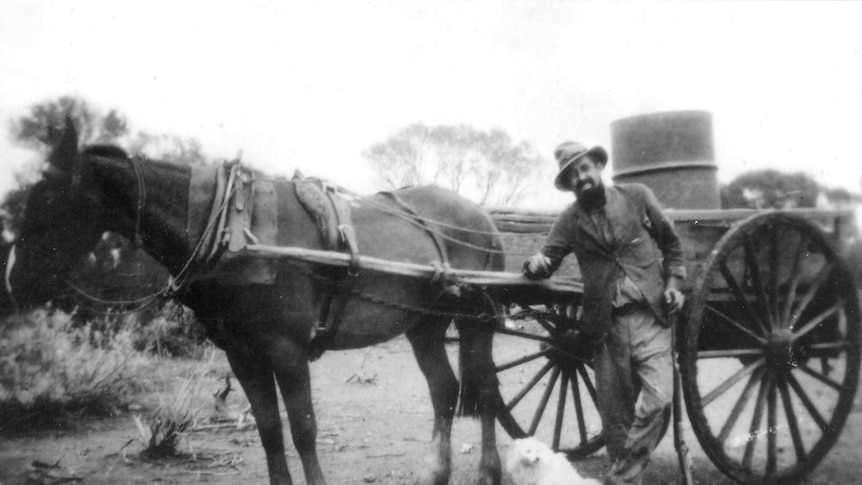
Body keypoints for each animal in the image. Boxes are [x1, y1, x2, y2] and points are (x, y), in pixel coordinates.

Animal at [8, 118, 506, 484]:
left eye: (51, 198)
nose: (14, 280)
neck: (231, 229)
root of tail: (482, 217)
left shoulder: (286, 351)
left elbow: (304, 429)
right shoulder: (242, 355)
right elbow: (269, 431)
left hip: (476, 320)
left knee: (483, 388)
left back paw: (488, 472)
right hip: (424, 325)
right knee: (444, 391)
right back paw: (436, 472)